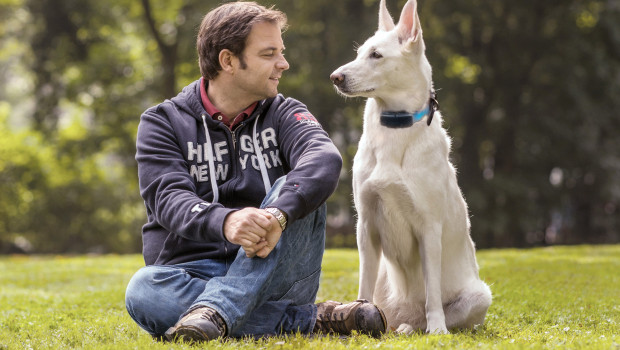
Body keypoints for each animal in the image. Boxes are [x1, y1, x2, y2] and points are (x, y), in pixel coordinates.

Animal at [332, 0, 492, 334]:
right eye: (359, 53)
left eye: (376, 55)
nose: (335, 77)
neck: (395, 126)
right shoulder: (365, 226)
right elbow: (363, 285)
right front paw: (357, 311)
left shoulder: (429, 229)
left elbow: (432, 292)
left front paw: (437, 330)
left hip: (479, 295)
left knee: (431, 315)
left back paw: (418, 327)